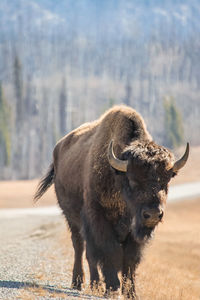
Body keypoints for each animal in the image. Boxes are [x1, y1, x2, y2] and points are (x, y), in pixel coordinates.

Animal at [34, 105, 189, 298]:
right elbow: (110, 252)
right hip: (72, 218)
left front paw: (131, 293)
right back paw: (80, 283)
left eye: (167, 180)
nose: (153, 214)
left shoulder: (134, 230)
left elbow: (130, 259)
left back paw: (95, 285)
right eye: (132, 180)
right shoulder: (99, 220)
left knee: (89, 253)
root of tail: (58, 149)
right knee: (80, 247)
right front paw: (112, 288)